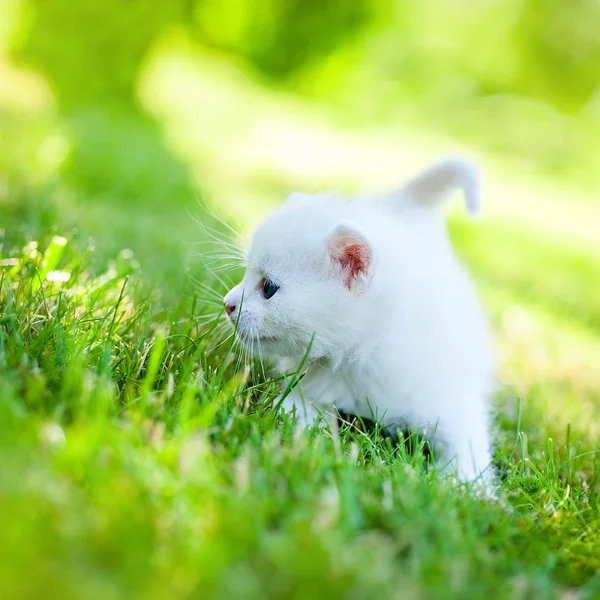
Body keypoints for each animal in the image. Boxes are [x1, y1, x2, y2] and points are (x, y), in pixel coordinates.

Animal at [223, 161, 494, 488]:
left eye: (268, 287)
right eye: (245, 276)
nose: (227, 304)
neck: (361, 355)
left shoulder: (453, 405)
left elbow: (468, 454)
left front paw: (465, 490)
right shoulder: (304, 389)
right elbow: (300, 417)